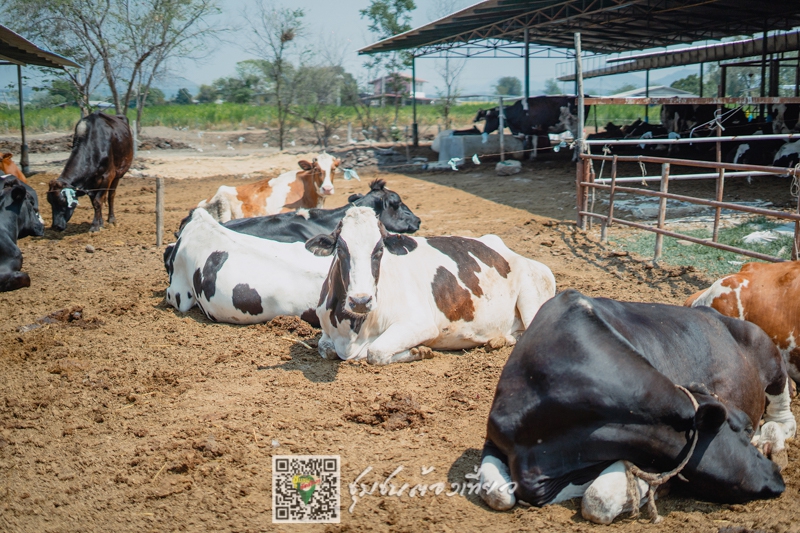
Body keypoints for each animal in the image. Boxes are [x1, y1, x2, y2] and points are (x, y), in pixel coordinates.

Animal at [306, 207, 556, 366]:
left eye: (379, 250)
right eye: (340, 249)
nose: (360, 301)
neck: (353, 331)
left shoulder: (421, 324)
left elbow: (374, 352)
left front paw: (419, 351)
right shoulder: (326, 333)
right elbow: (326, 349)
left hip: (532, 296)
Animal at [478, 288, 796, 520]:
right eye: (742, 429)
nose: (776, 475)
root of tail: (712, 313)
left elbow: (597, 499)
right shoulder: (496, 437)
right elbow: (498, 494)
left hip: (769, 353)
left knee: (784, 411)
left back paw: (773, 437)